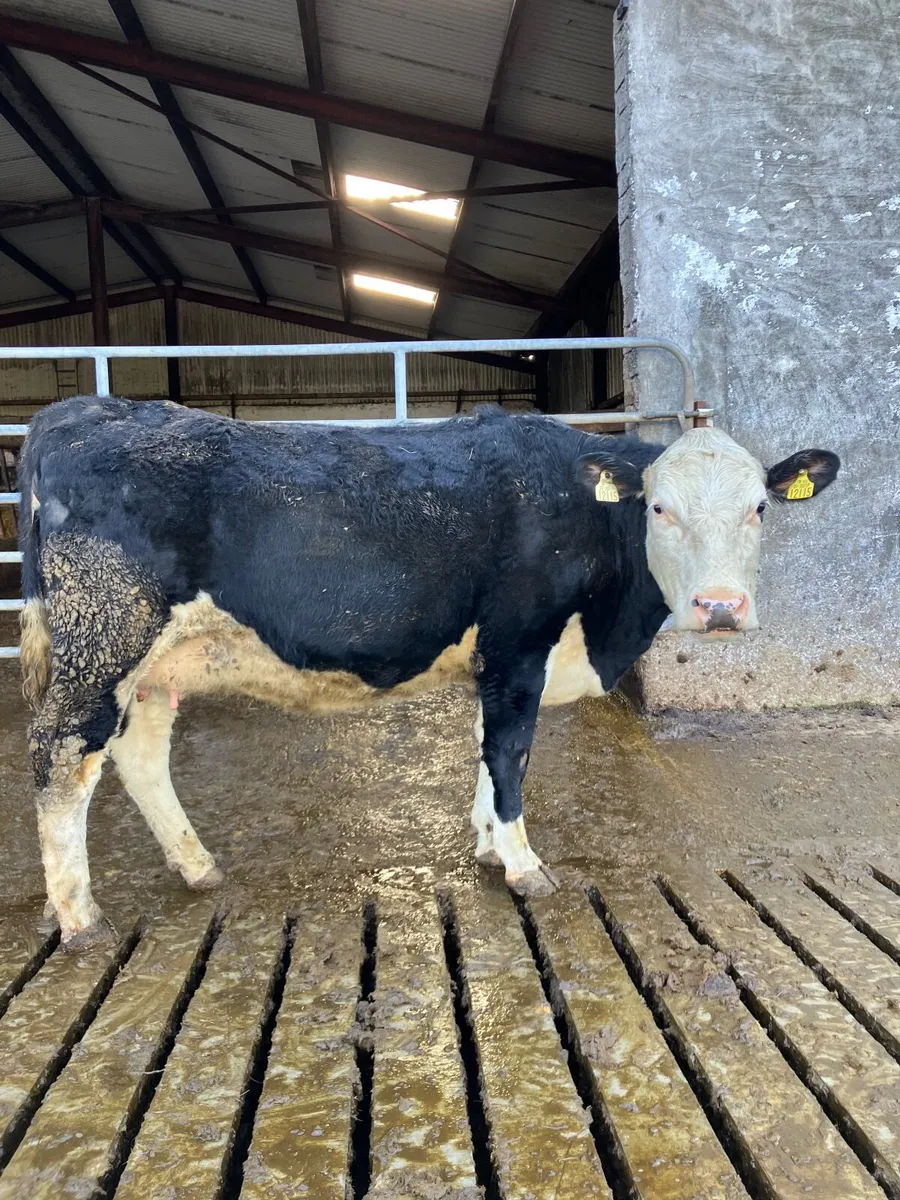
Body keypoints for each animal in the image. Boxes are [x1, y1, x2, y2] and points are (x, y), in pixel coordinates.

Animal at [16, 396, 839, 948]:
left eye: (761, 507)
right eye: (659, 508)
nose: (721, 607)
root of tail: (80, 411)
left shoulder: (494, 661)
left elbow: (483, 746)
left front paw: (487, 844)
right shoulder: (518, 644)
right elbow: (509, 751)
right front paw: (522, 864)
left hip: (156, 664)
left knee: (139, 753)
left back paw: (196, 866)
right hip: (105, 638)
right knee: (61, 758)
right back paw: (81, 916)